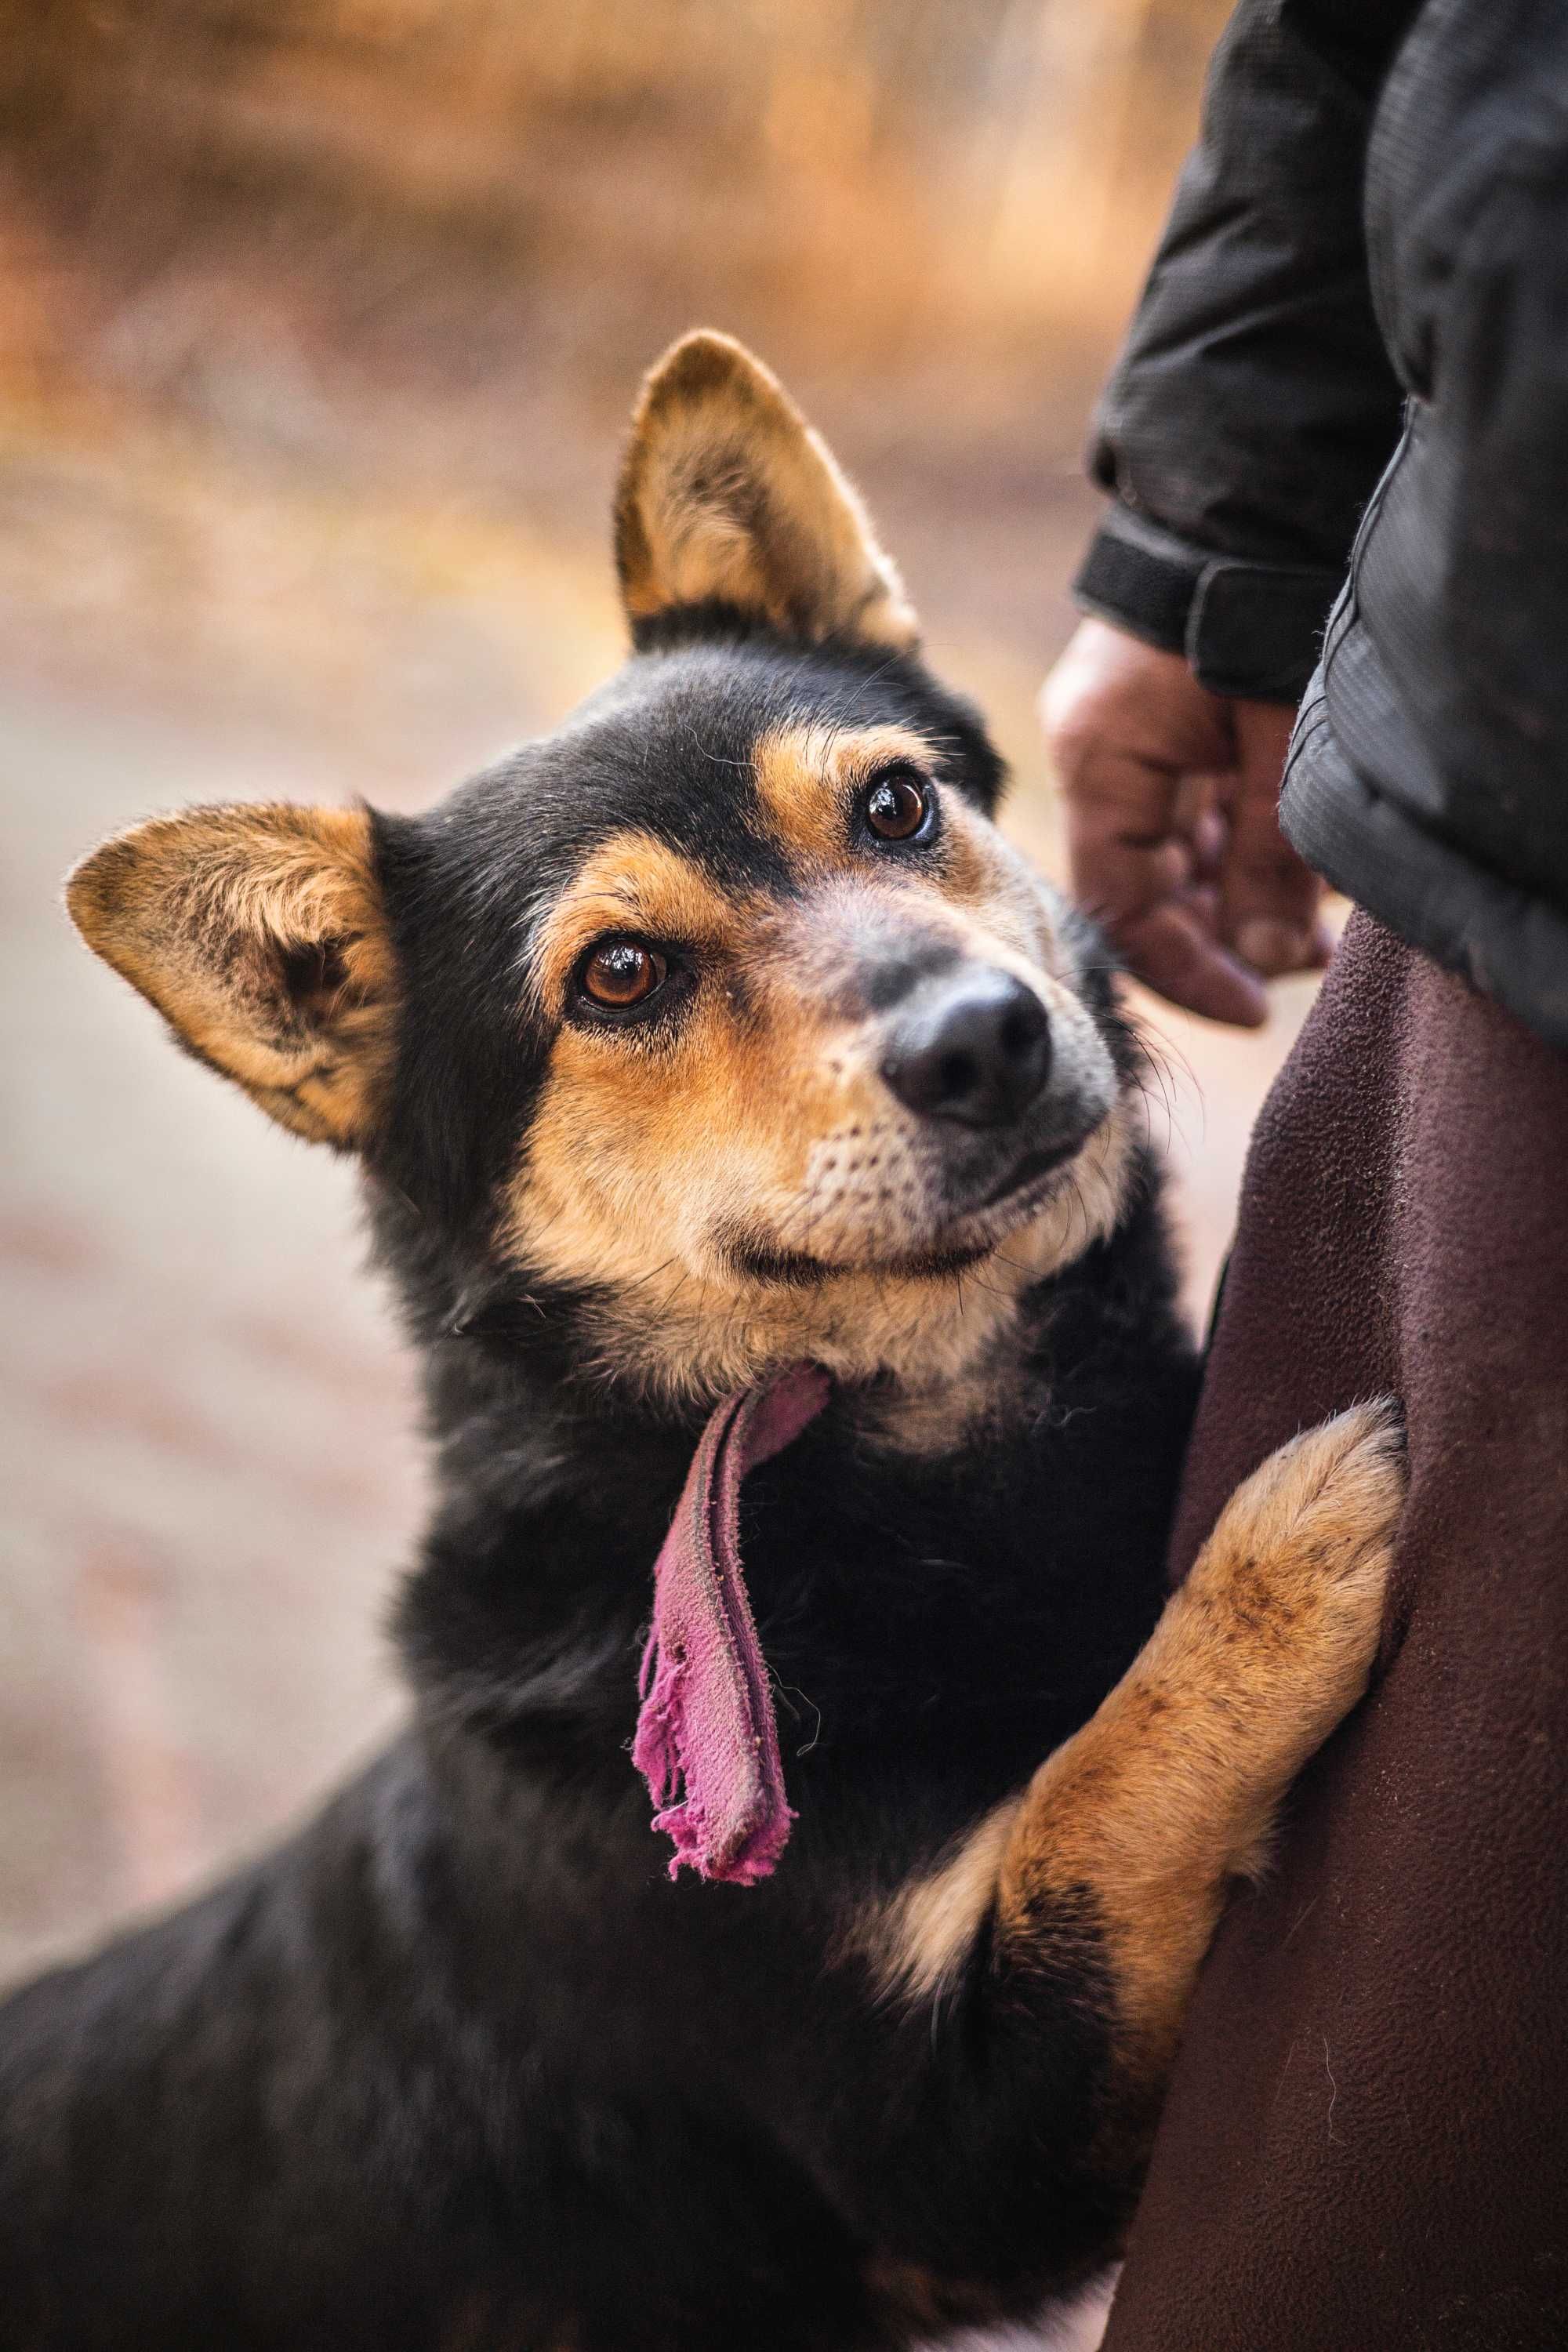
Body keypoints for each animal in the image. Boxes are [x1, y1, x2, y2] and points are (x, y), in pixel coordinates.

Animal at [0, 336, 1401, 2352]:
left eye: (895, 808)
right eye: (619, 977)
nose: (983, 1038)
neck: (921, 1469)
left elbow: (1078, 1786)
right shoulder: (953, 2148)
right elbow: (1092, 1799)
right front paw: (1276, 1569)